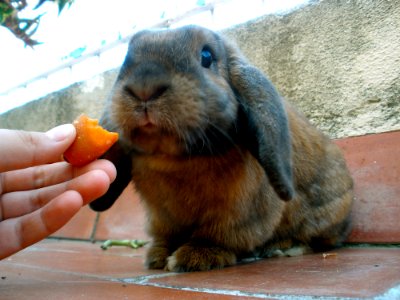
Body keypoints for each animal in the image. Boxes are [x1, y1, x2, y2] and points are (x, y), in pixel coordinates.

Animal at [90, 25, 354, 272]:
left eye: (207, 56)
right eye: (126, 58)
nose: (144, 87)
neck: (174, 159)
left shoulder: (238, 213)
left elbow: (219, 236)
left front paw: (195, 257)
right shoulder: (162, 217)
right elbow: (166, 236)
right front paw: (157, 257)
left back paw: (281, 248)